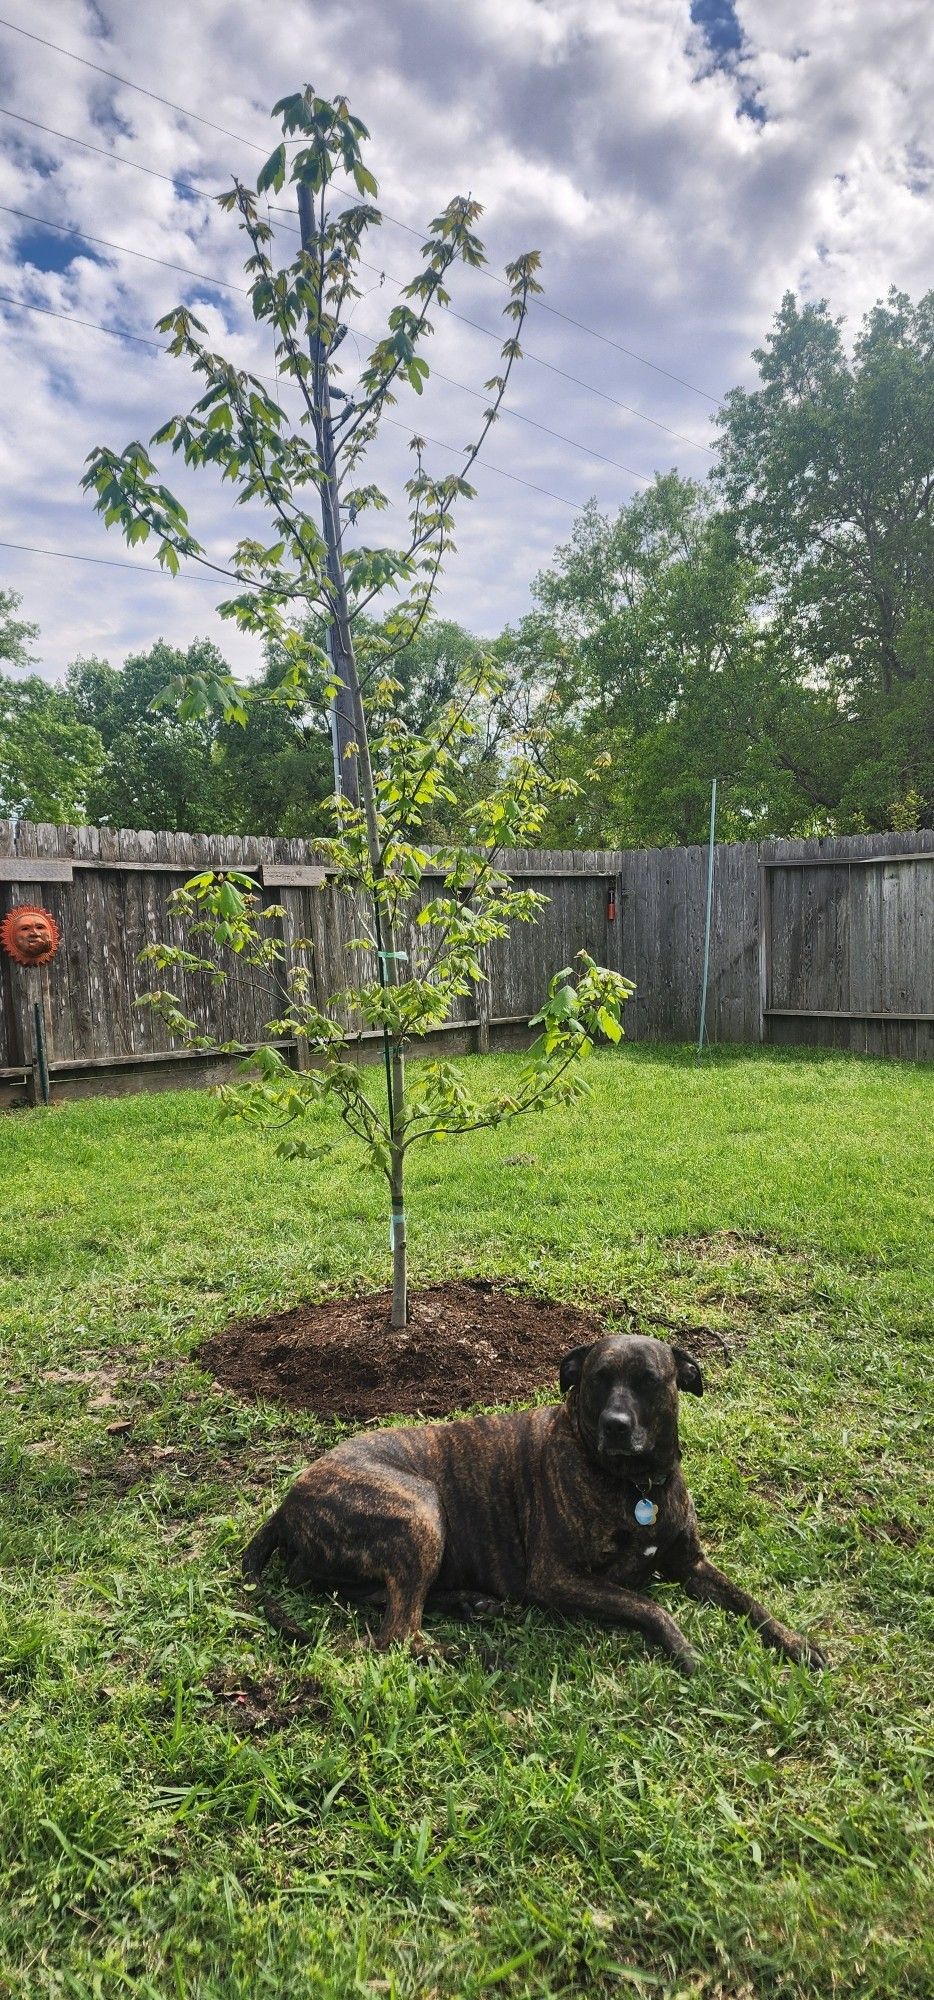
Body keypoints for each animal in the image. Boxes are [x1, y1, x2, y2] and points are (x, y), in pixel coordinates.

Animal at [241, 1336, 828, 1680]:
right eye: (597, 1379)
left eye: (649, 1381)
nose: (615, 1425)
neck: (633, 1484)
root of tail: (288, 1500)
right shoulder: (557, 1578)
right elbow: (649, 1606)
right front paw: (684, 1648)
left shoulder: (692, 1564)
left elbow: (750, 1600)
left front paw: (797, 1642)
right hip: (420, 1510)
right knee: (396, 1636)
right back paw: (476, 1653)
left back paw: (471, 1605)